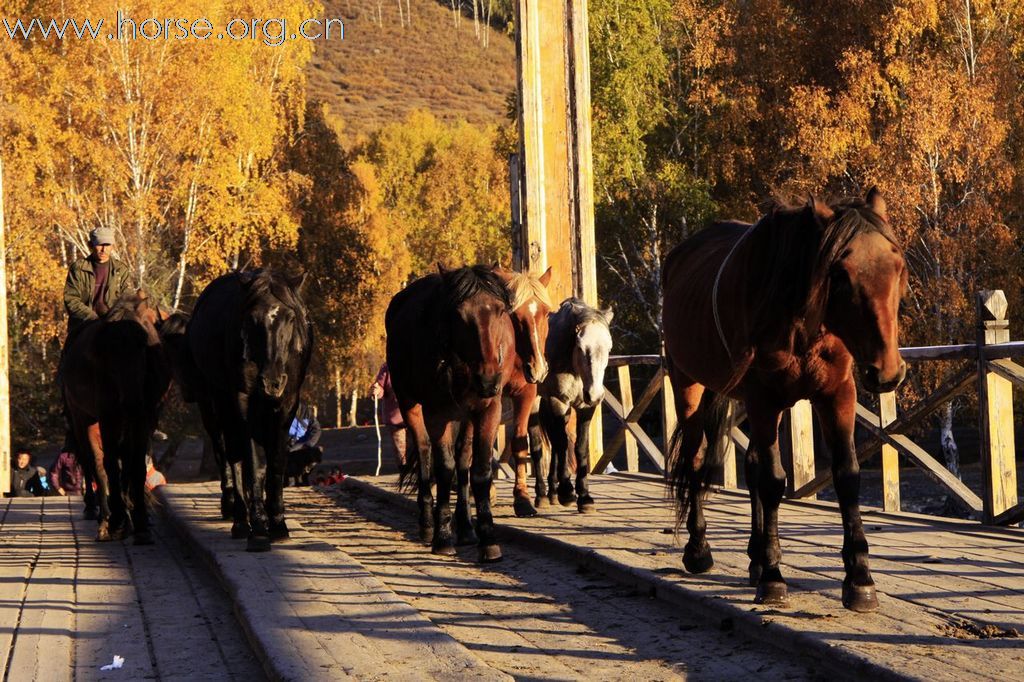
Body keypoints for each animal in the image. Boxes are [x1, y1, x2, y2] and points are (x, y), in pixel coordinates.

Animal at [62, 290, 172, 540]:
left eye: (144, 343)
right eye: (105, 349)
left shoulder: (145, 416)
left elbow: (135, 465)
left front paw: (139, 522)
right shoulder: (107, 416)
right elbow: (109, 465)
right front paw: (118, 521)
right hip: (82, 419)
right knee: (94, 464)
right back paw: (102, 515)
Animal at [182, 268, 311, 548]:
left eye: (290, 317)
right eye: (251, 318)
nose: (272, 382)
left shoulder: (287, 405)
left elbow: (276, 461)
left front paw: (278, 523)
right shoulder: (242, 403)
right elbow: (252, 462)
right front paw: (259, 526)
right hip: (213, 404)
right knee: (227, 453)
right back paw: (239, 517)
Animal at [385, 264, 516, 557]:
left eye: (500, 310)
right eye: (459, 314)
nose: (488, 379)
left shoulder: (489, 408)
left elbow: (479, 469)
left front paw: (487, 537)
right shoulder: (437, 413)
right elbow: (444, 468)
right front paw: (443, 536)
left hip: (466, 414)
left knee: (463, 458)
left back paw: (466, 528)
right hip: (408, 402)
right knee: (424, 451)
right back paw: (427, 524)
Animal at [532, 296, 610, 509]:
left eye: (609, 348)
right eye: (582, 348)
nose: (595, 394)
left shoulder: (585, 408)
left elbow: (579, 447)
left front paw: (584, 495)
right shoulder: (558, 401)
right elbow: (562, 444)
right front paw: (567, 492)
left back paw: (552, 491)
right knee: (538, 443)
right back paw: (542, 494)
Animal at [663, 188, 905, 614]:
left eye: (898, 265)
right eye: (840, 274)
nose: (887, 371)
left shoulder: (837, 394)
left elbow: (847, 476)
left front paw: (859, 578)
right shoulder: (764, 399)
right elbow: (774, 480)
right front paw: (774, 577)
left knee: (751, 464)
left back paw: (755, 558)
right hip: (689, 384)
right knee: (694, 459)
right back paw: (699, 550)